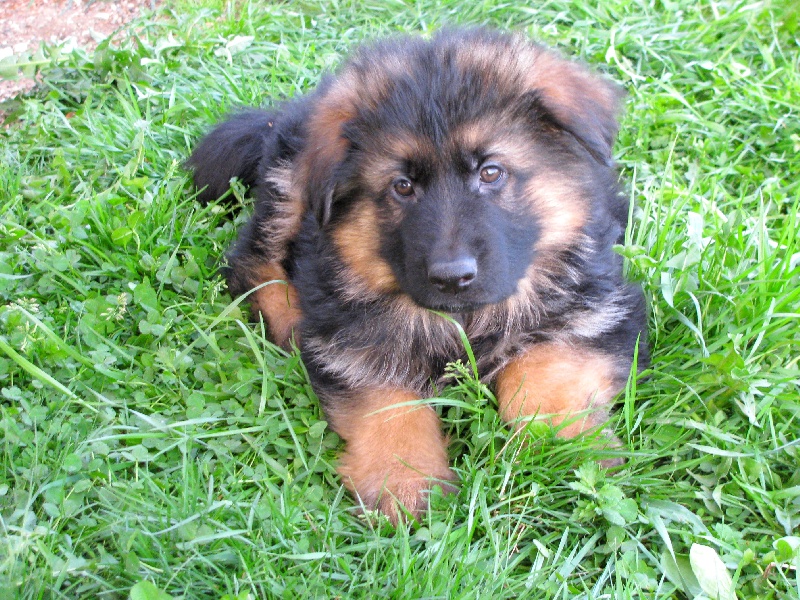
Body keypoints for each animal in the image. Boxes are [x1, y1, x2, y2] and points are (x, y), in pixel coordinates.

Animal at [189, 28, 648, 524]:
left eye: (491, 172)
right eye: (402, 186)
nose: (452, 277)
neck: (467, 319)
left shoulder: (593, 303)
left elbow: (545, 364)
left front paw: (568, 444)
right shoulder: (352, 340)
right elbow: (388, 399)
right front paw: (405, 481)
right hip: (289, 193)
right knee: (249, 260)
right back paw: (289, 320)